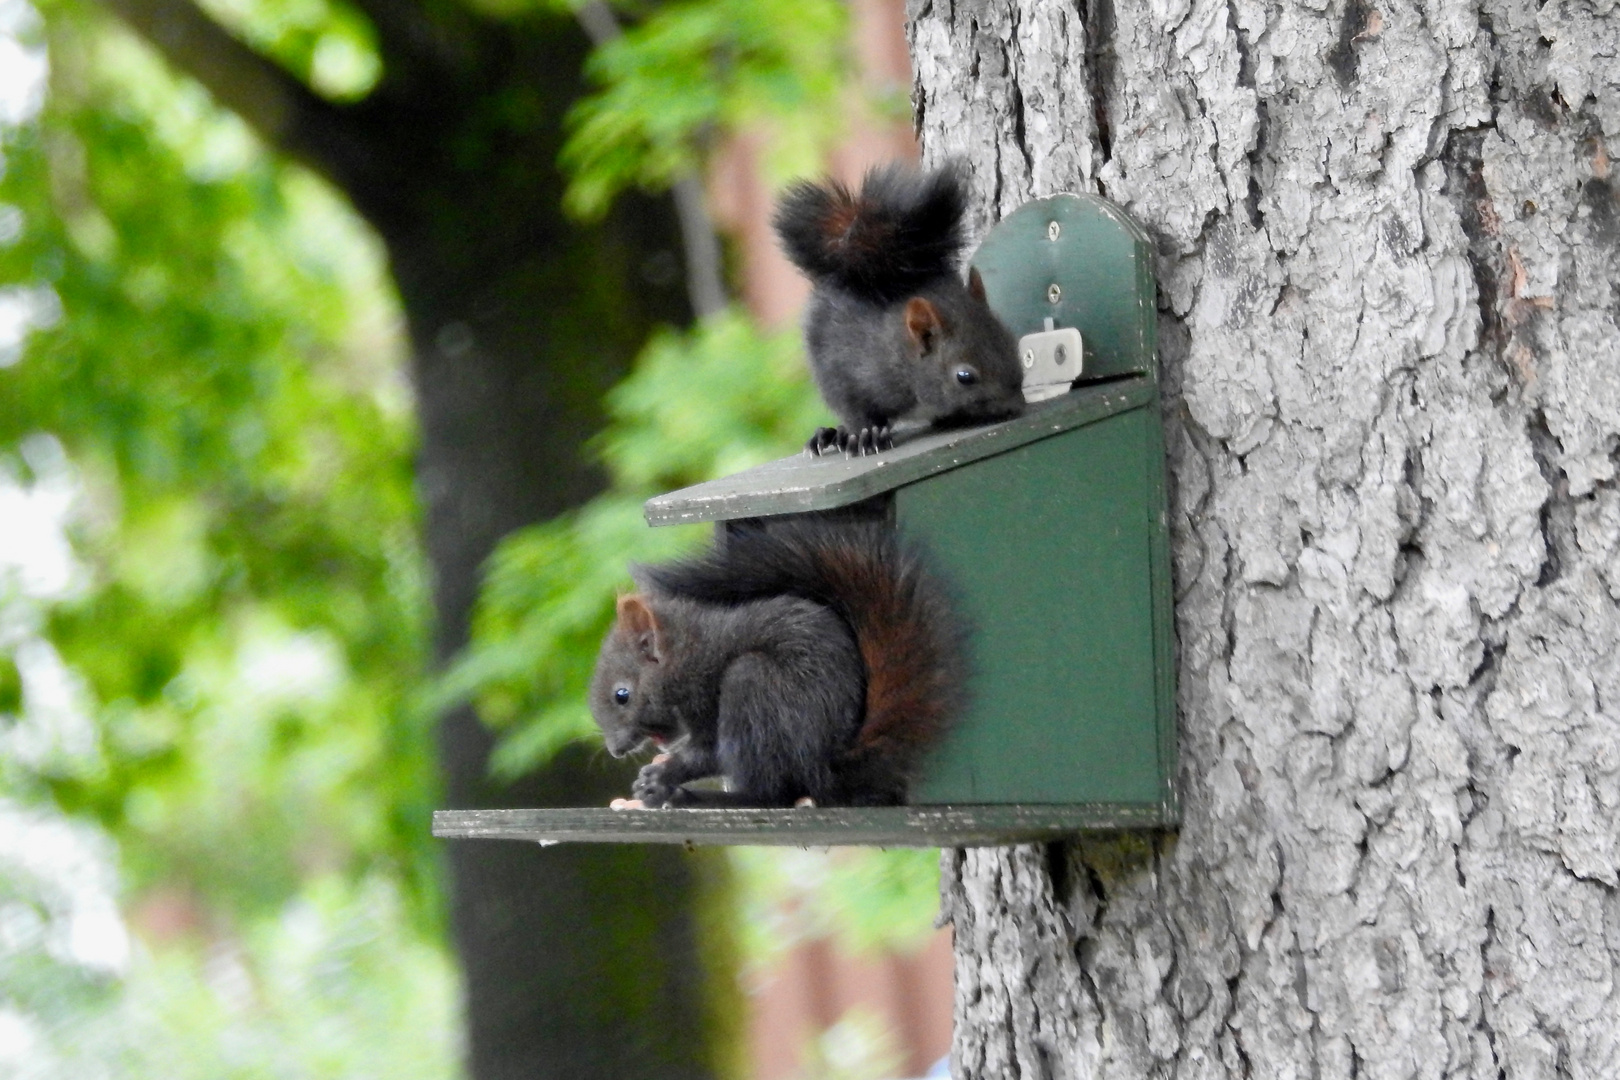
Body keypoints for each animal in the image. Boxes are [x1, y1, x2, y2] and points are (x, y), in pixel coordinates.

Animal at [592, 518, 959, 809]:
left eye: (622, 695)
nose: (616, 751)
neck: (689, 651)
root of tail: (828, 767)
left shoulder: (704, 691)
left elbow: (710, 753)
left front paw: (660, 775)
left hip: (754, 688)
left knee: (770, 795)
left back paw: (701, 798)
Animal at [771, 161, 1023, 456]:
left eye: (1010, 343)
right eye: (965, 377)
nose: (1016, 406)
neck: (902, 353)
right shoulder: (853, 372)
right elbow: (856, 411)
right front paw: (866, 435)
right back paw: (835, 434)